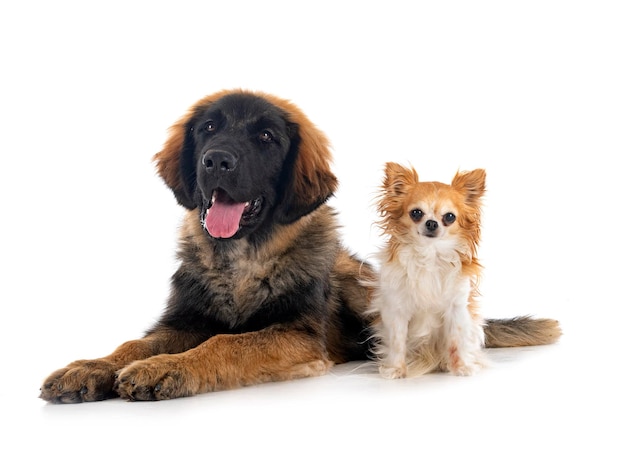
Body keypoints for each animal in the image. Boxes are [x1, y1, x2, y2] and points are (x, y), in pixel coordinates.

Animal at [368, 163, 486, 378]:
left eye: (449, 217)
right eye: (416, 213)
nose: (432, 223)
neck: (430, 254)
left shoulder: (456, 308)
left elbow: (457, 341)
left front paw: (461, 367)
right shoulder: (397, 309)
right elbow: (397, 342)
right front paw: (396, 369)